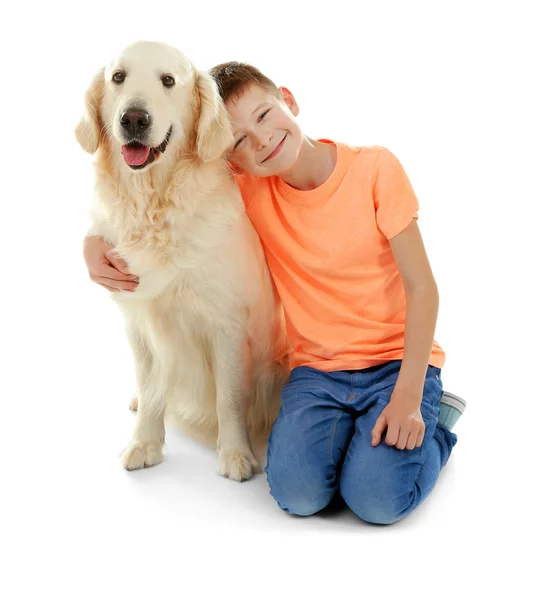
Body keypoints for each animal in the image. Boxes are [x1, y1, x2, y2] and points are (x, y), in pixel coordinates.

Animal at [75, 41, 292, 482]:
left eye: (168, 80)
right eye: (118, 77)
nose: (133, 119)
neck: (155, 203)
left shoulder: (226, 323)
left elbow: (229, 397)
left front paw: (235, 453)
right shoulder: (140, 321)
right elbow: (151, 386)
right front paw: (144, 442)